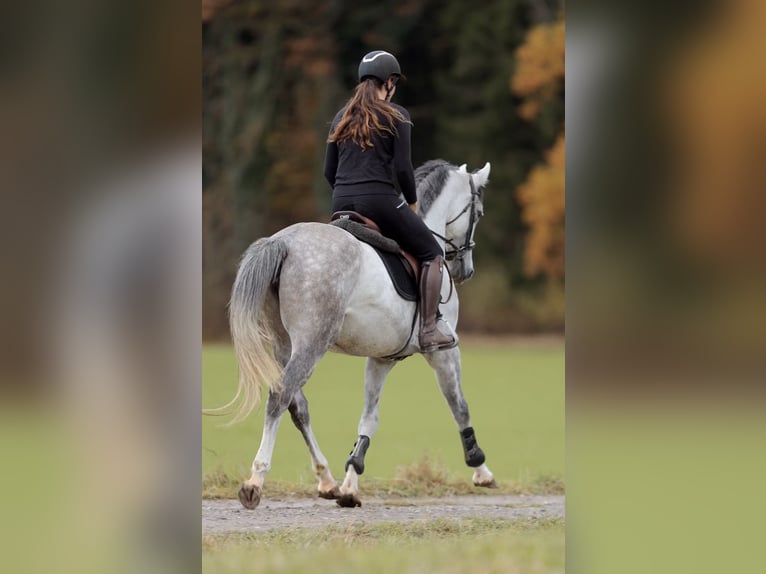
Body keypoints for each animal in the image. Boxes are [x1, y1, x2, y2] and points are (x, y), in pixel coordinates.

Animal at [224, 159, 495, 509]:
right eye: (479, 213)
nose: (466, 271)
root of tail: (283, 242)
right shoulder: (444, 352)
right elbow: (459, 405)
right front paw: (480, 468)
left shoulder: (382, 358)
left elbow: (369, 418)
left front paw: (350, 483)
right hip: (312, 344)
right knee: (279, 398)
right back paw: (255, 481)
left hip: (285, 346)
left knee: (298, 407)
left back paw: (326, 479)